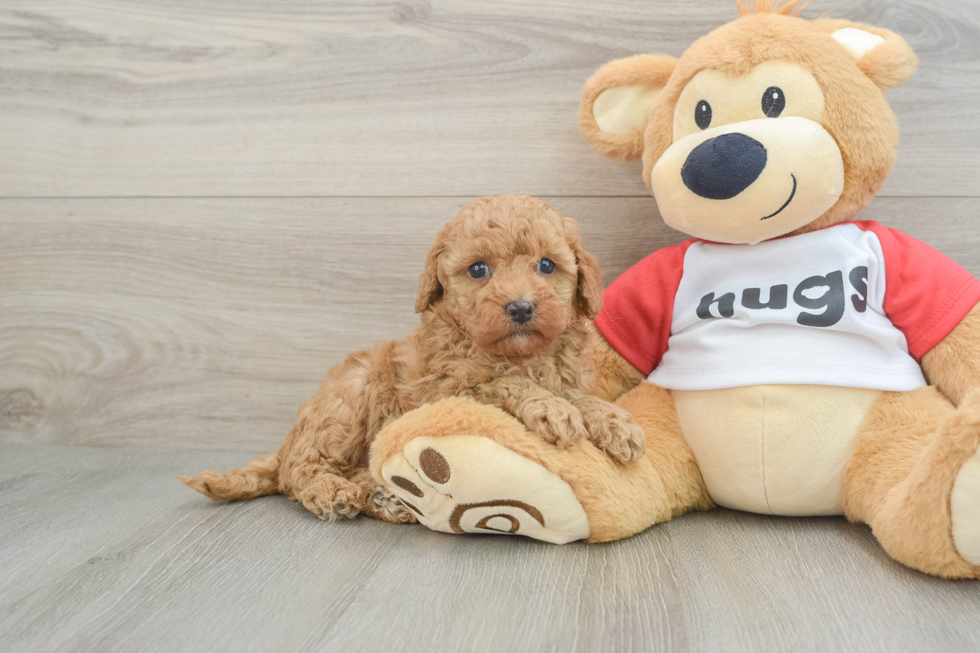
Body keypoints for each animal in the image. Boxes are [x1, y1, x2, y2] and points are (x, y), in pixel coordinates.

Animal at [182, 195, 644, 524]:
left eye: (546, 265)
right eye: (478, 270)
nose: (520, 308)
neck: (516, 353)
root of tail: (286, 441)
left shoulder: (565, 377)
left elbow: (580, 397)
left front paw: (612, 421)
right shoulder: (443, 389)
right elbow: (499, 382)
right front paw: (551, 408)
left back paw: (384, 498)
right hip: (348, 400)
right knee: (299, 471)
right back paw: (333, 494)